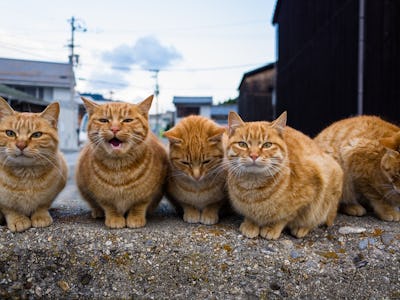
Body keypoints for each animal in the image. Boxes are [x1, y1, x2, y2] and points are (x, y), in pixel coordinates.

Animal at [0, 96, 67, 232]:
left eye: (37, 135)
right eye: (10, 133)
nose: (21, 145)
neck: (25, 174)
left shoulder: (52, 192)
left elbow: (42, 205)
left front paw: (41, 216)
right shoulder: (3, 201)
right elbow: (9, 208)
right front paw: (18, 219)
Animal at [76, 95, 168, 229]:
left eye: (127, 120)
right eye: (103, 120)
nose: (114, 129)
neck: (119, 167)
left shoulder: (147, 194)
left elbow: (138, 206)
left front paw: (135, 218)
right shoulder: (102, 195)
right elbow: (110, 207)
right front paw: (114, 218)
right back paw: (97, 212)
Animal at [227, 111, 342, 240]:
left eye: (267, 145)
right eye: (242, 144)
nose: (254, 155)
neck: (253, 186)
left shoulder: (307, 197)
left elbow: (285, 217)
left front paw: (272, 227)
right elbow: (251, 216)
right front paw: (250, 224)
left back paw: (302, 228)